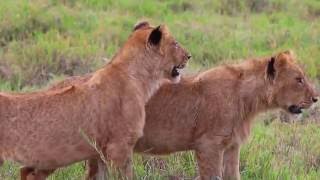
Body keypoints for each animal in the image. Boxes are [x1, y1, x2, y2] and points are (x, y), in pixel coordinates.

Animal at [0, 21, 190, 180]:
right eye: (175, 43)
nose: (189, 56)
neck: (137, 77)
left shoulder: (100, 152)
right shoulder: (119, 147)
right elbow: (125, 176)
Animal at [21, 50, 318, 180]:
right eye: (299, 79)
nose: (316, 98)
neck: (249, 100)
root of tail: (55, 85)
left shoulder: (232, 147)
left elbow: (233, 176)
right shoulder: (208, 146)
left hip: (98, 152)